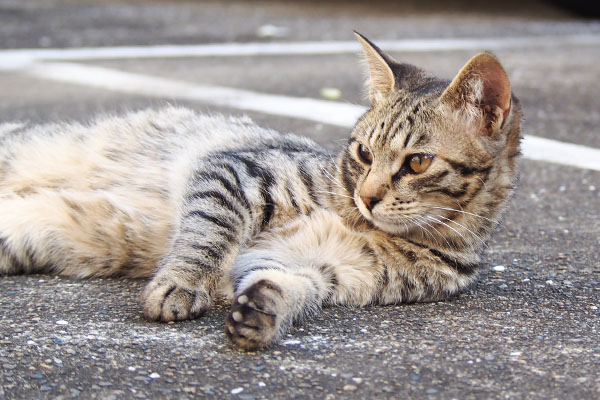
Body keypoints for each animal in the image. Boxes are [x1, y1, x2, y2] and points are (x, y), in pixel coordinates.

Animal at [0, 33, 520, 350]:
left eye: (417, 162)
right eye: (363, 153)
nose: (366, 197)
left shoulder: (325, 270)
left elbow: (293, 286)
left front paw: (265, 310)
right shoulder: (236, 173)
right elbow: (207, 237)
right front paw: (181, 284)